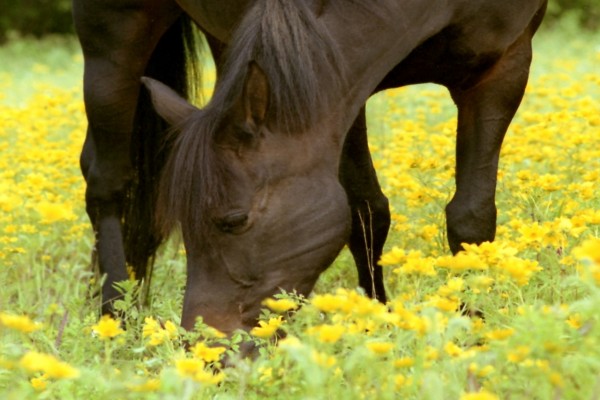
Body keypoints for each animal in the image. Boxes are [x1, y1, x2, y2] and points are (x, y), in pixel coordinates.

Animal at [71, 0, 548, 334]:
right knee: (107, 181)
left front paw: (475, 327)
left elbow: (470, 219)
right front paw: (375, 321)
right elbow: (366, 210)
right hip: (112, 32)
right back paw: (116, 317)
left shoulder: (504, 66)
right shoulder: (337, 89)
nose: (205, 345)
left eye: (234, 220)